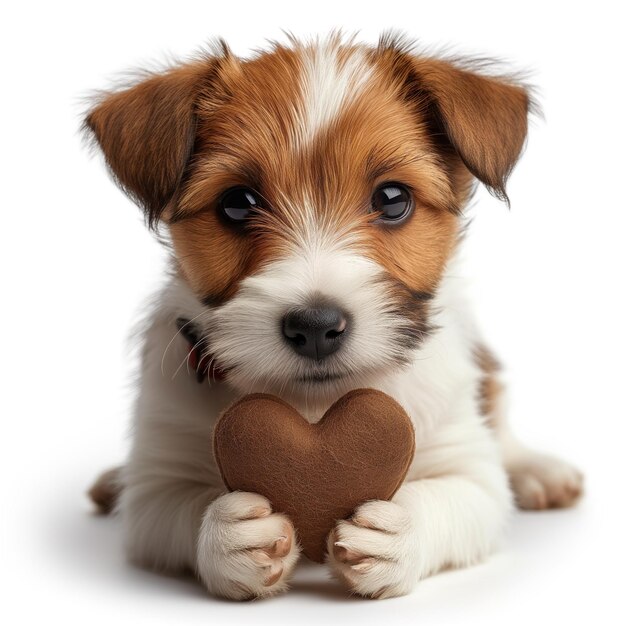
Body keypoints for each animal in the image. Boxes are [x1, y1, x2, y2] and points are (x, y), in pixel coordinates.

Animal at [85, 34, 584, 600]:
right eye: (237, 203)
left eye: (392, 198)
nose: (316, 327)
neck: (313, 405)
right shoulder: (154, 492)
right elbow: (185, 510)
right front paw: (229, 535)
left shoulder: (468, 473)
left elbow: (449, 497)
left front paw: (396, 532)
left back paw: (537, 469)